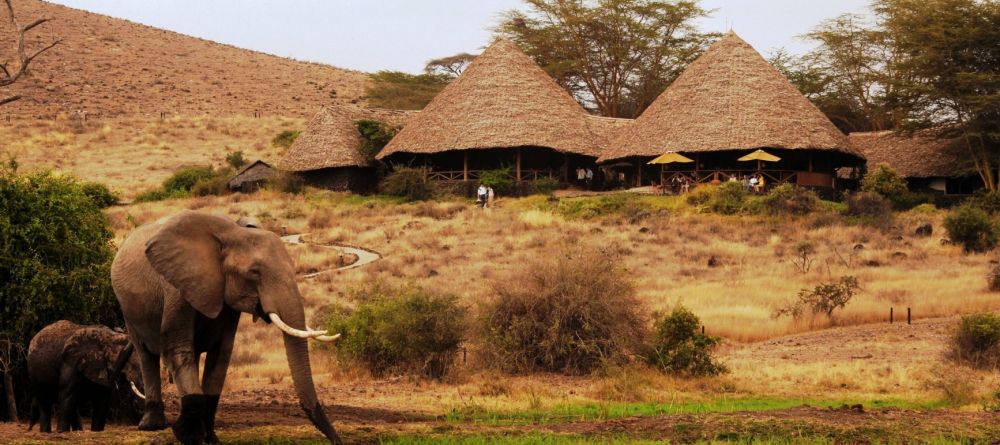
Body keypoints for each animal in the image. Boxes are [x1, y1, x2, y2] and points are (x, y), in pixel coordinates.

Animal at [112, 209, 342, 444]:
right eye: (254, 272)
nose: (337, 440)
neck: (232, 233)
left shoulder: (227, 302)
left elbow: (221, 355)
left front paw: (210, 438)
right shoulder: (176, 288)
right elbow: (178, 348)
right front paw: (187, 436)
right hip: (127, 308)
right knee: (146, 355)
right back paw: (152, 426)